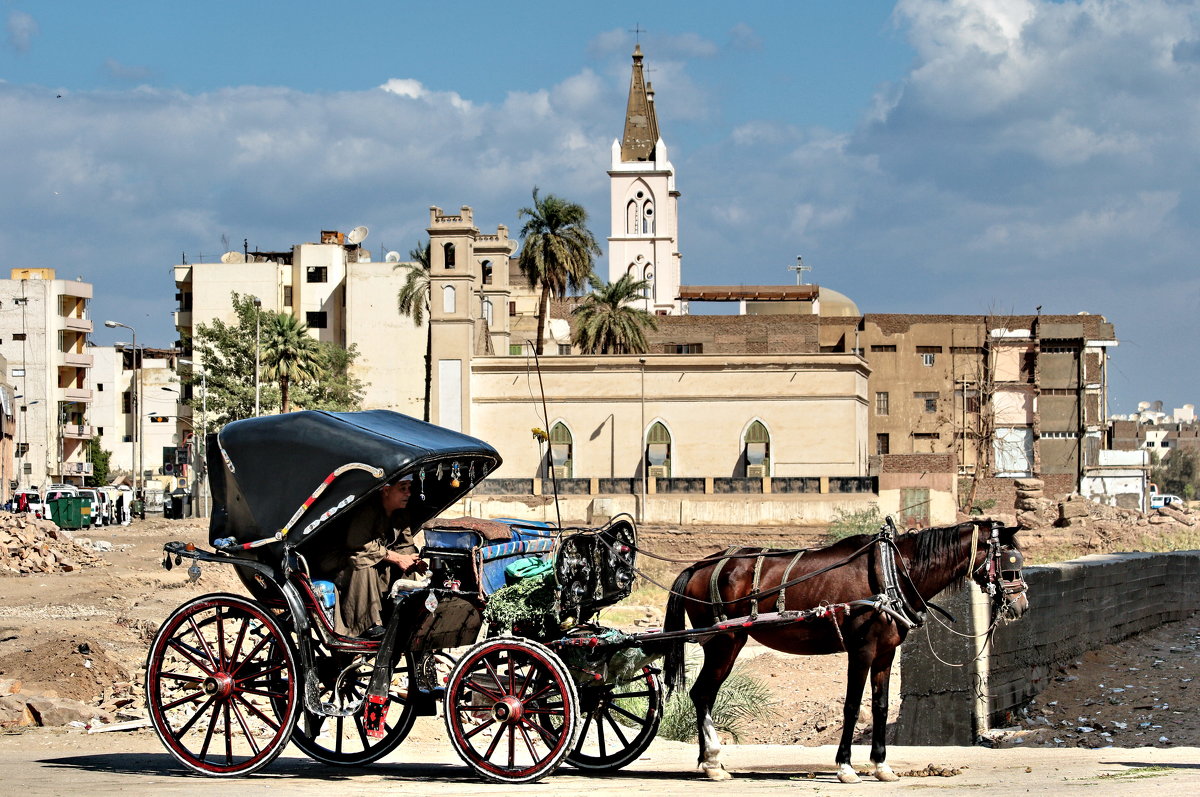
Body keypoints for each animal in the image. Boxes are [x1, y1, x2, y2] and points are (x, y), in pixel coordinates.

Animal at [662, 516, 1027, 782]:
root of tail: (699, 565)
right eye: (1009, 563)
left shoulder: (885, 653)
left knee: (705, 694)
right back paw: (712, 763)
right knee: (702, 694)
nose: (1020, 606)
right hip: (725, 642)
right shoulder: (861, 649)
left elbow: (880, 706)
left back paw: (711, 762)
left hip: (725, 643)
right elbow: (852, 706)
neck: (893, 573)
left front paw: (881, 766)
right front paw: (846, 767)